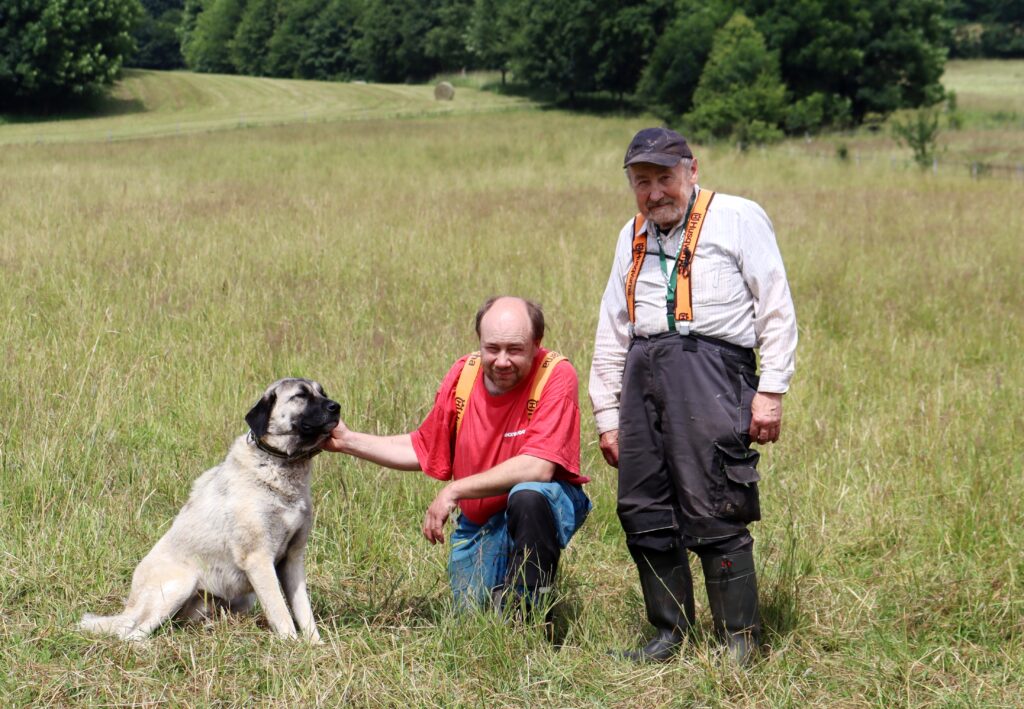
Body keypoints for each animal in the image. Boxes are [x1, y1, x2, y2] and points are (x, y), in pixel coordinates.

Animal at [77, 377, 339, 643]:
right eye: (301, 395)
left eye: (322, 392)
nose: (336, 407)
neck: (281, 467)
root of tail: (129, 606)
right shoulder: (259, 560)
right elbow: (281, 612)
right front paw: (292, 646)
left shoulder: (293, 559)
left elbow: (303, 610)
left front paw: (315, 645)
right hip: (180, 585)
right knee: (131, 634)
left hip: (239, 598)